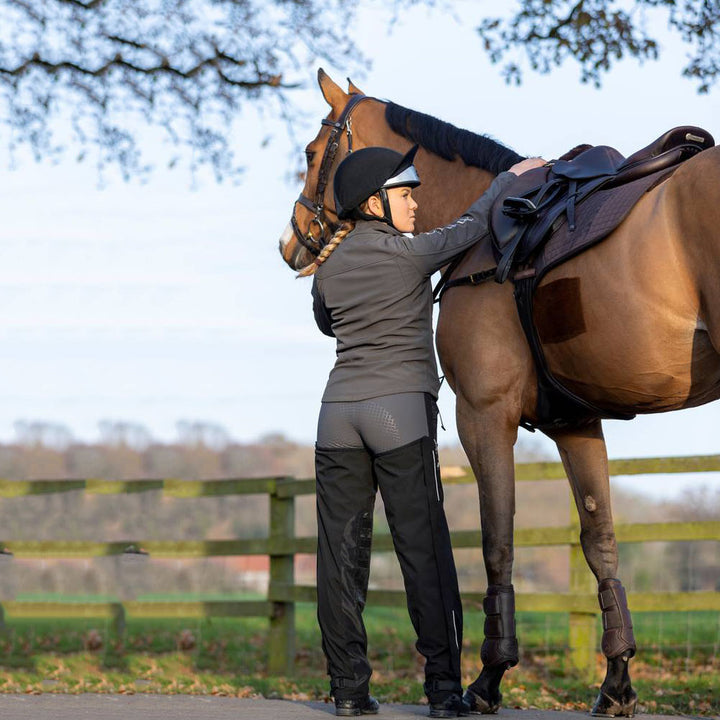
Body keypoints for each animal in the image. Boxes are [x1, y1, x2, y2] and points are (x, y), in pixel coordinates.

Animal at [278, 69, 720, 716]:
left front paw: (488, 679)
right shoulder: (574, 424)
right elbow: (600, 542)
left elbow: (497, 542)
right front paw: (616, 682)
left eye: (312, 153)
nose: (292, 243)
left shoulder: (483, 417)